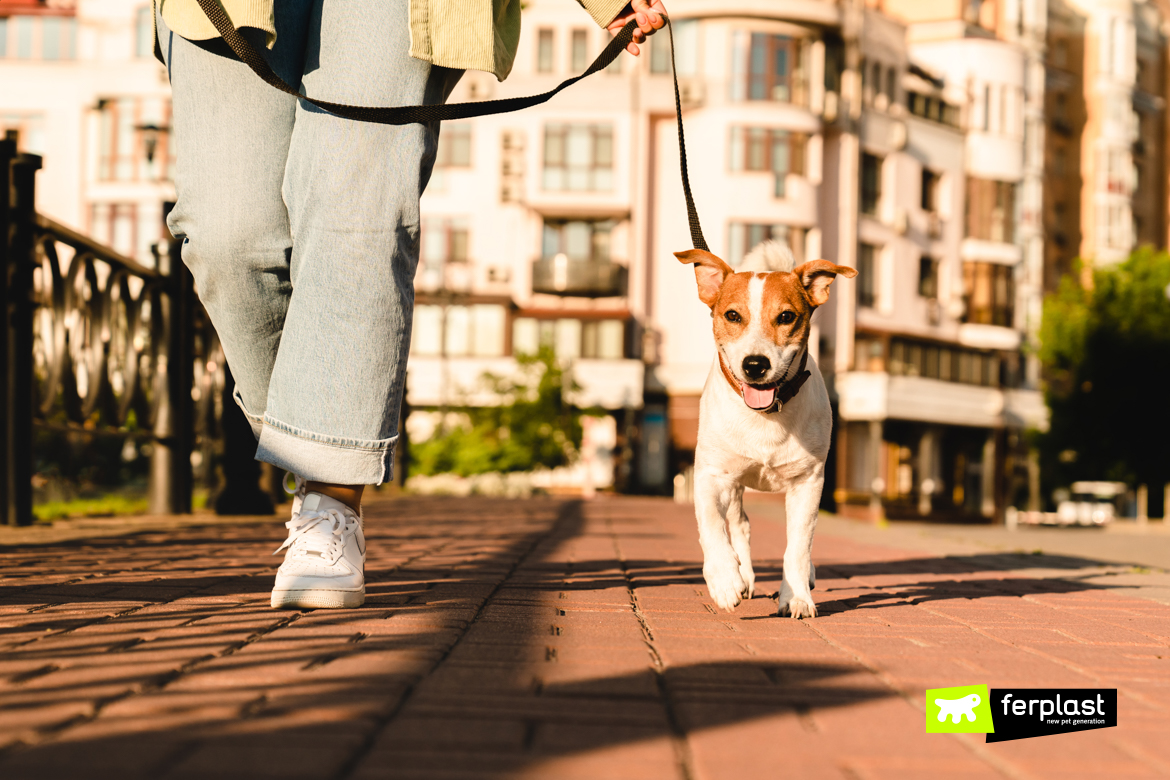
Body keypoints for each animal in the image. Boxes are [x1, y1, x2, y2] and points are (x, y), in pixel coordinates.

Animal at [673, 240, 856, 617]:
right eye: (732, 316)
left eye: (786, 317)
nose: (755, 364)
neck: (766, 413)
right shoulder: (710, 475)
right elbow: (712, 526)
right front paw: (725, 579)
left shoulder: (808, 482)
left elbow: (798, 547)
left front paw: (796, 596)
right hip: (733, 483)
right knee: (738, 524)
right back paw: (740, 575)